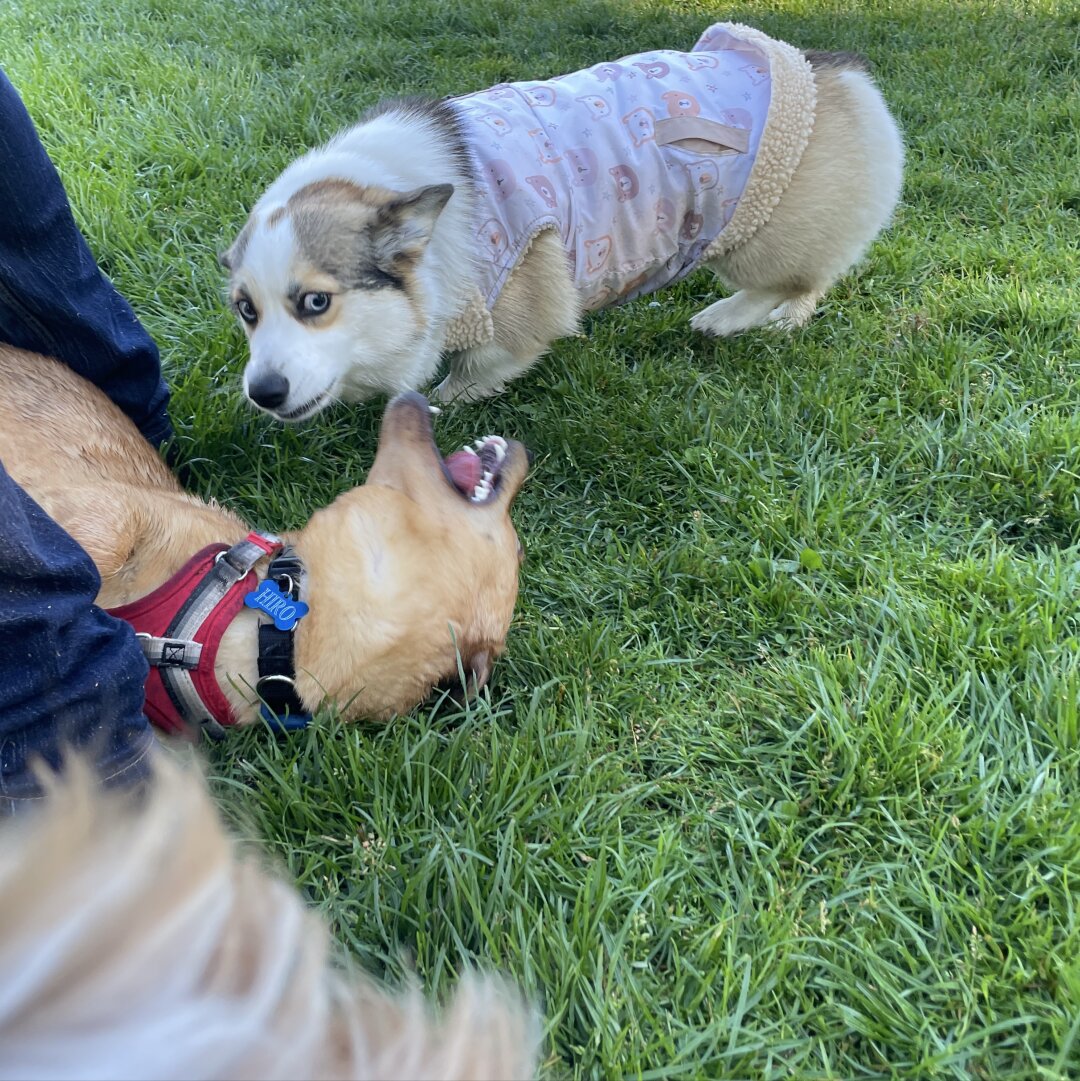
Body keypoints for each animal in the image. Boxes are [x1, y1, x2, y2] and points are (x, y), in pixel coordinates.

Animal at [222, 21, 903, 421]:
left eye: (315, 302)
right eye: (246, 310)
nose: (262, 394)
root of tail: (835, 71)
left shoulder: (518, 310)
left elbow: (483, 367)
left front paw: (441, 402)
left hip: (753, 239)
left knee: (797, 276)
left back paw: (726, 317)